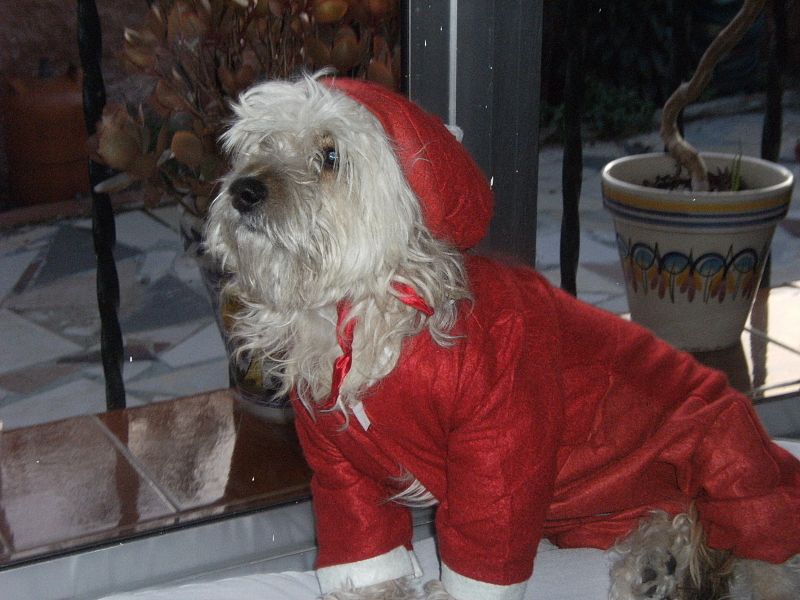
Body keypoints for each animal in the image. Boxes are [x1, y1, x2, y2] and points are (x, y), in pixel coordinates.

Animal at [206, 75, 800, 600]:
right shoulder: (340, 470)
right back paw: (663, 564)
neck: (365, 307)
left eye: (330, 156)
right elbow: (364, 554)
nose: (243, 190)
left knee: (768, 547)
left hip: (728, 465)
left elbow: (485, 549)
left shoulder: (501, 450)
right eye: (260, 144)